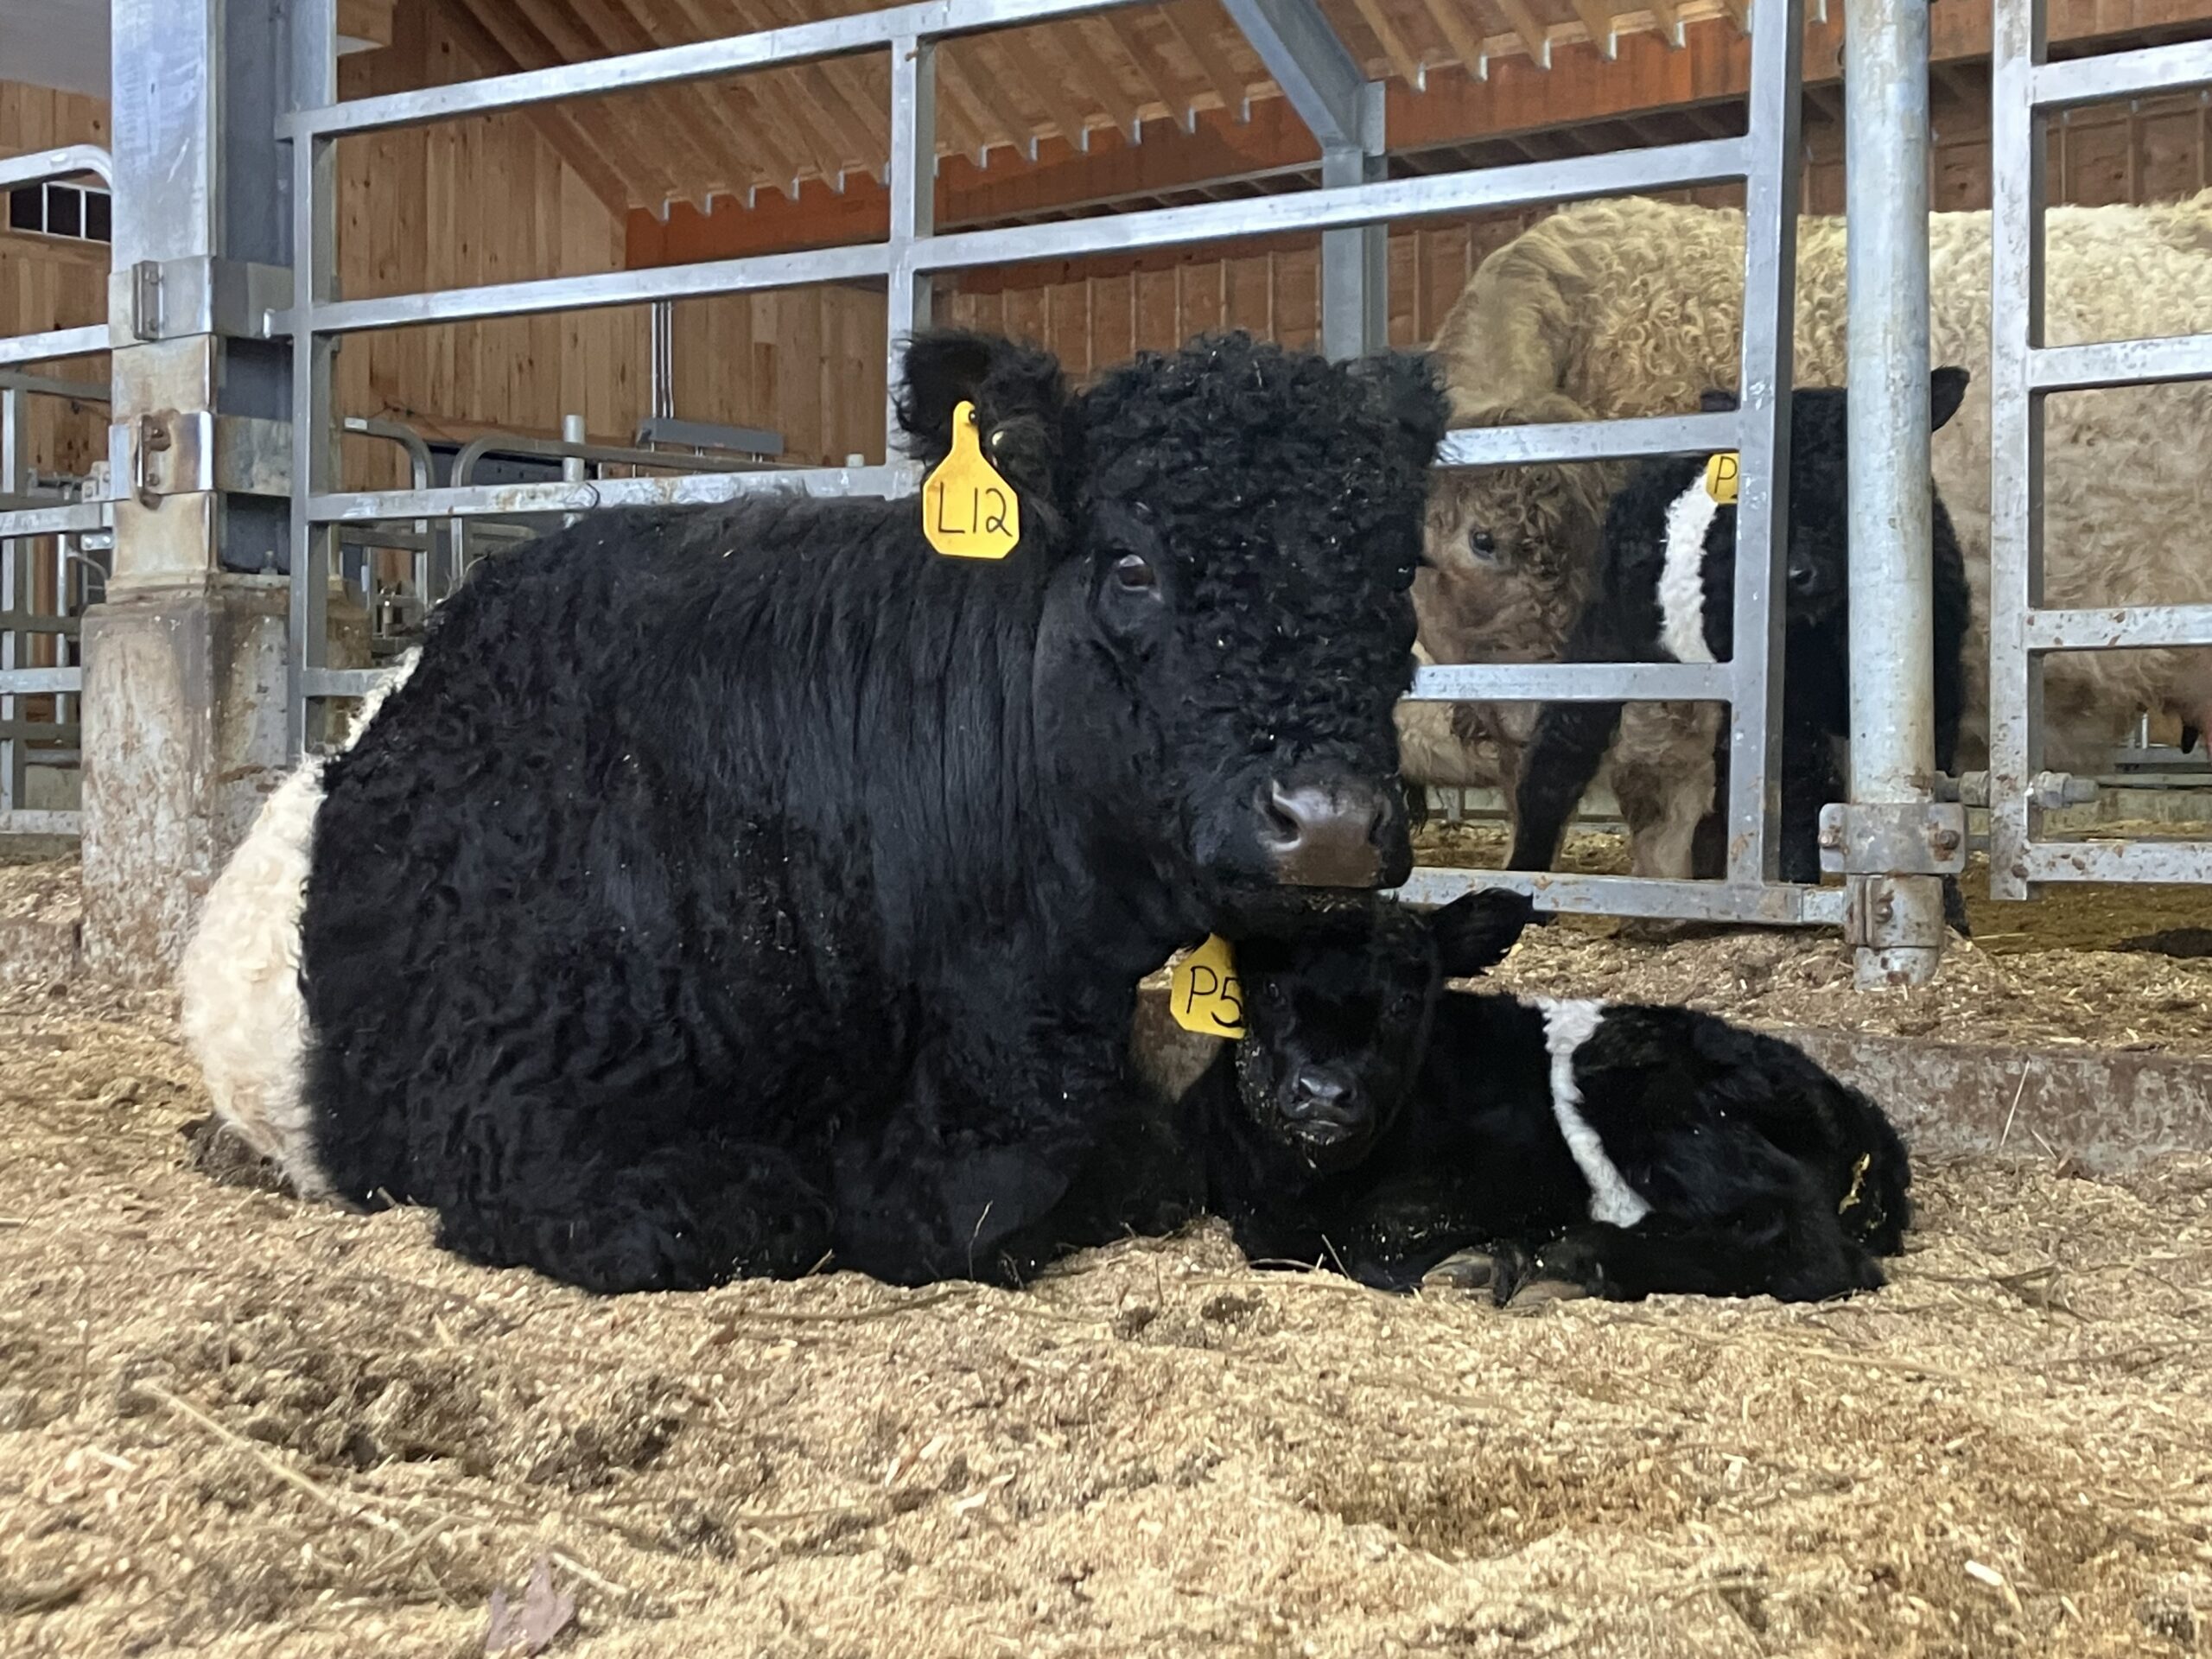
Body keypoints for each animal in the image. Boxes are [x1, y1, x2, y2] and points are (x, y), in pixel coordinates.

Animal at [1186, 891, 1912, 1303]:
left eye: (1404, 1001)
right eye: (1269, 989)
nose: (1324, 1093)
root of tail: (1851, 1105)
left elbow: (1380, 1233)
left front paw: (1485, 1260)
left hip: (1650, 1101)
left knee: (1808, 1241)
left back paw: (1579, 1258)